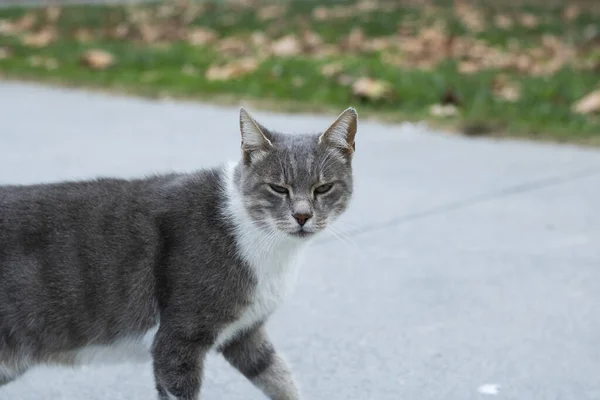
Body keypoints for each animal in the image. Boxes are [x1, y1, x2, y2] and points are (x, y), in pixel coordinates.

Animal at [0, 107, 356, 400]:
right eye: (278, 188)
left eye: (323, 188)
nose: (302, 216)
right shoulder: (178, 340)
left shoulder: (246, 333)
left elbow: (279, 376)